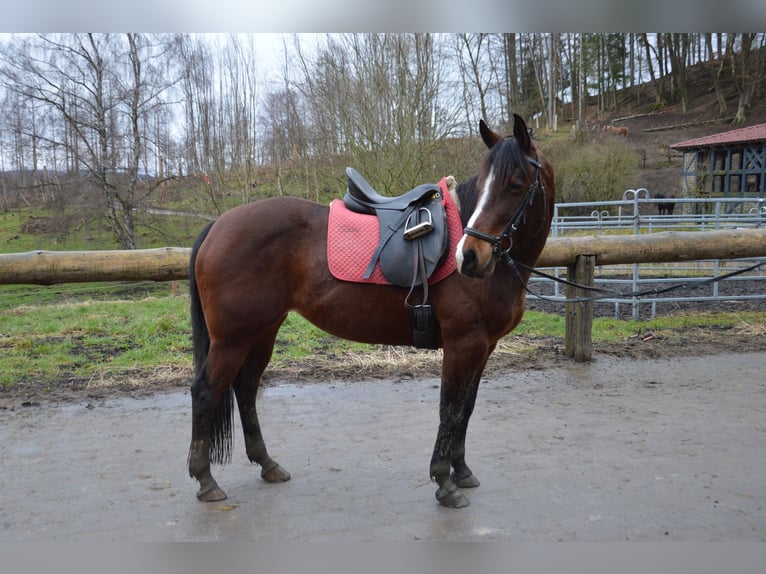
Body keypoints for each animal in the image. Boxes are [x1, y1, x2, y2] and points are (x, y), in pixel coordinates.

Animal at [188, 112, 556, 508]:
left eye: (516, 184)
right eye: (487, 180)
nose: (469, 258)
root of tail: (218, 225)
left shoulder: (484, 347)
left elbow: (465, 409)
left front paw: (462, 471)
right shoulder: (463, 345)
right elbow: (450, 408)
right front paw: (445, 482)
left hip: (263, 331)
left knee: (245, 388)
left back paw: (267, 464)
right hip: (232, 339)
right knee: (206, 392)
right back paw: (205, 480)